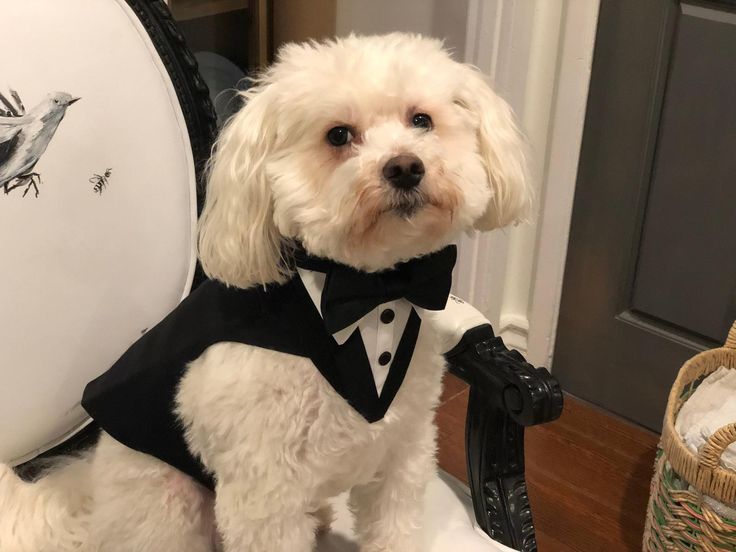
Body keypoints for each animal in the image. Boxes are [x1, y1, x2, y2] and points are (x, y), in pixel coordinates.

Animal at [0, 33, 528, 552]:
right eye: (338, 135)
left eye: (422, 120)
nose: (404, 167)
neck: (370, 292)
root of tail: (89, 497)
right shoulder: (266, 494)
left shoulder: (402, 456)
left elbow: (394, 528)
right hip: (169, 502)